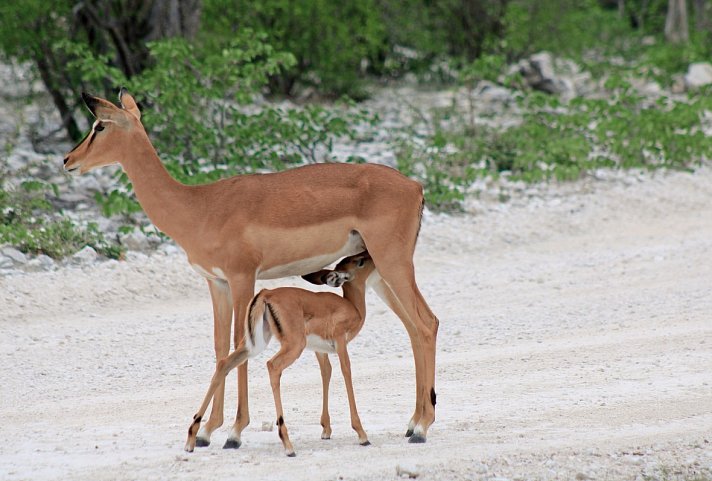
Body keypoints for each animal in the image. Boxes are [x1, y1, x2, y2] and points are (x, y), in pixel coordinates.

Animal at [189, 253, 376, 456]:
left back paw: (194, 437)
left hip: (254, 344)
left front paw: (326, 430)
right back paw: (287, 445)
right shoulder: (340, 343)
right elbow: (346, 371)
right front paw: (362, 434)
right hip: (293, 346)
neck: (353, 308)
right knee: (272, 365)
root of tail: (266, 294)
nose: (370, 256)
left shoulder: (320, 350)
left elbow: (326, 373)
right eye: (360, 262)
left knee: (224, 363)